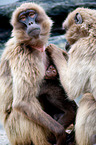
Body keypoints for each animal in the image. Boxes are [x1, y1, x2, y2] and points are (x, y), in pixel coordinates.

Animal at [0, 2, 66, 145]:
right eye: (23, 18)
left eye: (31, 14)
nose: (30, 23)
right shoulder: (22, 54)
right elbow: (23, 102)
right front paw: (61, 134)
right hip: (15, 133)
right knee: (23, 112)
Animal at [47, 7, 96, 145]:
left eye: (65, 30)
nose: (65, 43)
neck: (91, 31)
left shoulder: (81, 47)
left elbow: (71, 89)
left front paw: (56, 51)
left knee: (88, 98)